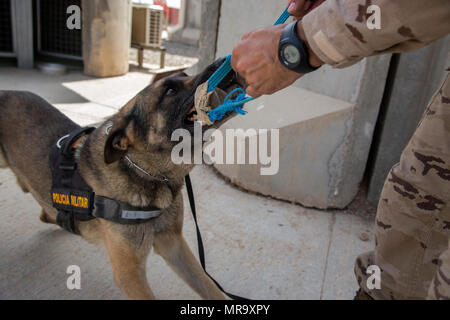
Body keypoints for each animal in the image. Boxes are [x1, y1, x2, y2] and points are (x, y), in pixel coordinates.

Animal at [0, 58, 243, 300]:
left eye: (185, 75)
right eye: (170, 91)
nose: (224, 61)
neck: (146, 173)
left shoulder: (173, 244)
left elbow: (209, 286)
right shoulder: (129, 274)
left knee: (45, 213)